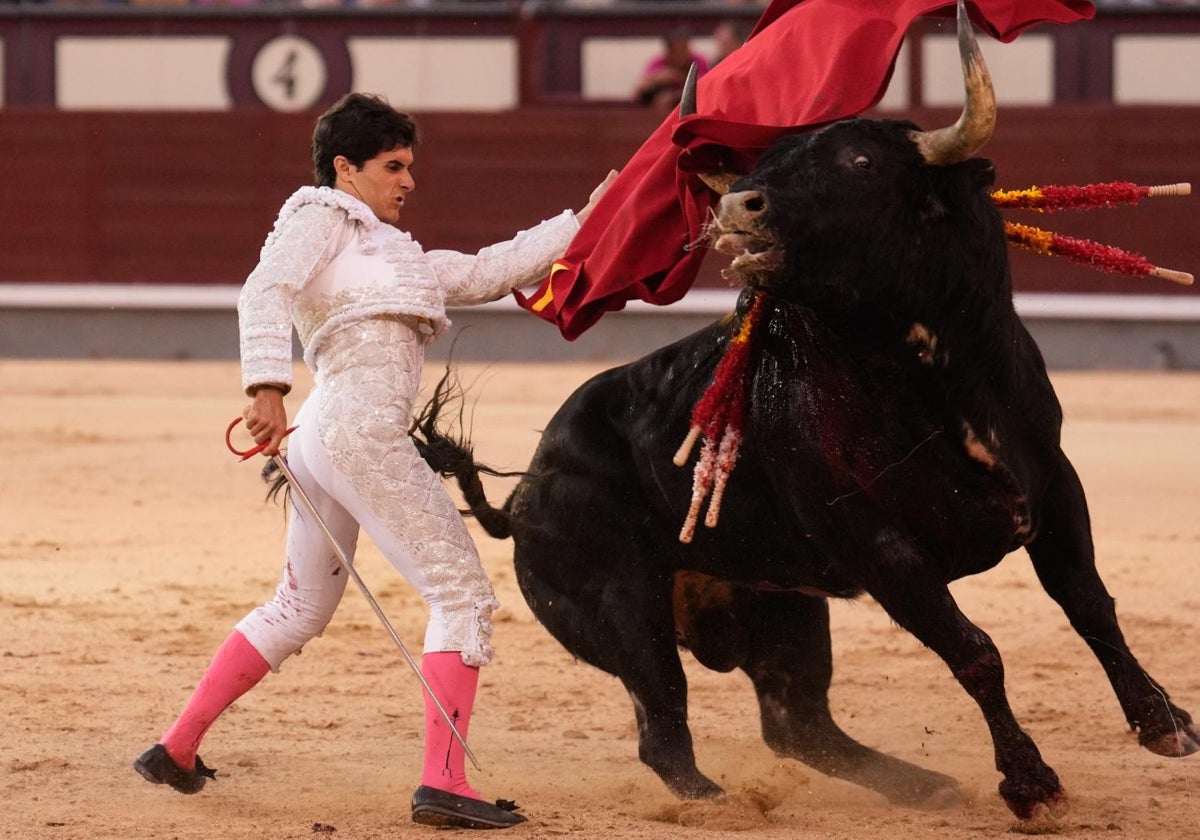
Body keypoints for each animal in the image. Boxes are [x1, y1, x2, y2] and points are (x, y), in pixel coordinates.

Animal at [410, 52, 1190, 825]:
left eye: (861, 161)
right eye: (765, 161)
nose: (734, 207)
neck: (935, 385)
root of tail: (525, 496)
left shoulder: (1052, 484)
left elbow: (1088, 603)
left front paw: (1165, 723)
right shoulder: (882, 549)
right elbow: (974, 651)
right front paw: (1032, 784)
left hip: (782, 604)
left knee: (798, 721)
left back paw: (924, 787)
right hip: (624, 610)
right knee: (665, 725)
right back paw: (720, 805)